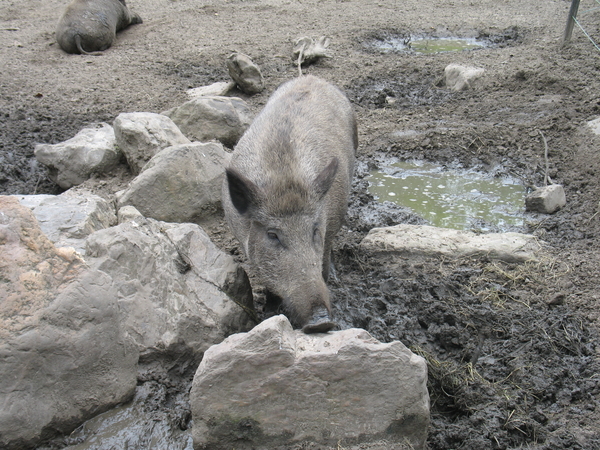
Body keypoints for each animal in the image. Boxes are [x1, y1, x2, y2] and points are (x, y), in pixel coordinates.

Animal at [224, 75, 356, 332]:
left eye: (314, 230)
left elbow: (323, 263)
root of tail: (312, 77)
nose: (321, 322)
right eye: (272, 235)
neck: (284, 179)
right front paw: (269, 311)